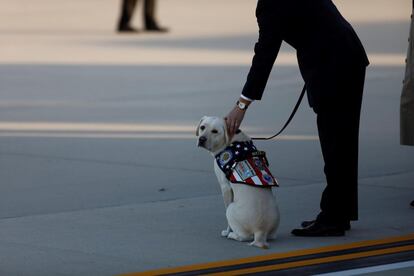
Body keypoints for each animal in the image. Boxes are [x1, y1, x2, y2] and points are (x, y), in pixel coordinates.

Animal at [196, 115, 280, 249]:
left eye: (215, 131)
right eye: (202, 127)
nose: (201, 139)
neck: (230, 140)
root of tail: (260, 232)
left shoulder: (225, 187)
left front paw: (227, 232)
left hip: (231, 209)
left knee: (243, 237)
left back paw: (232, 235)